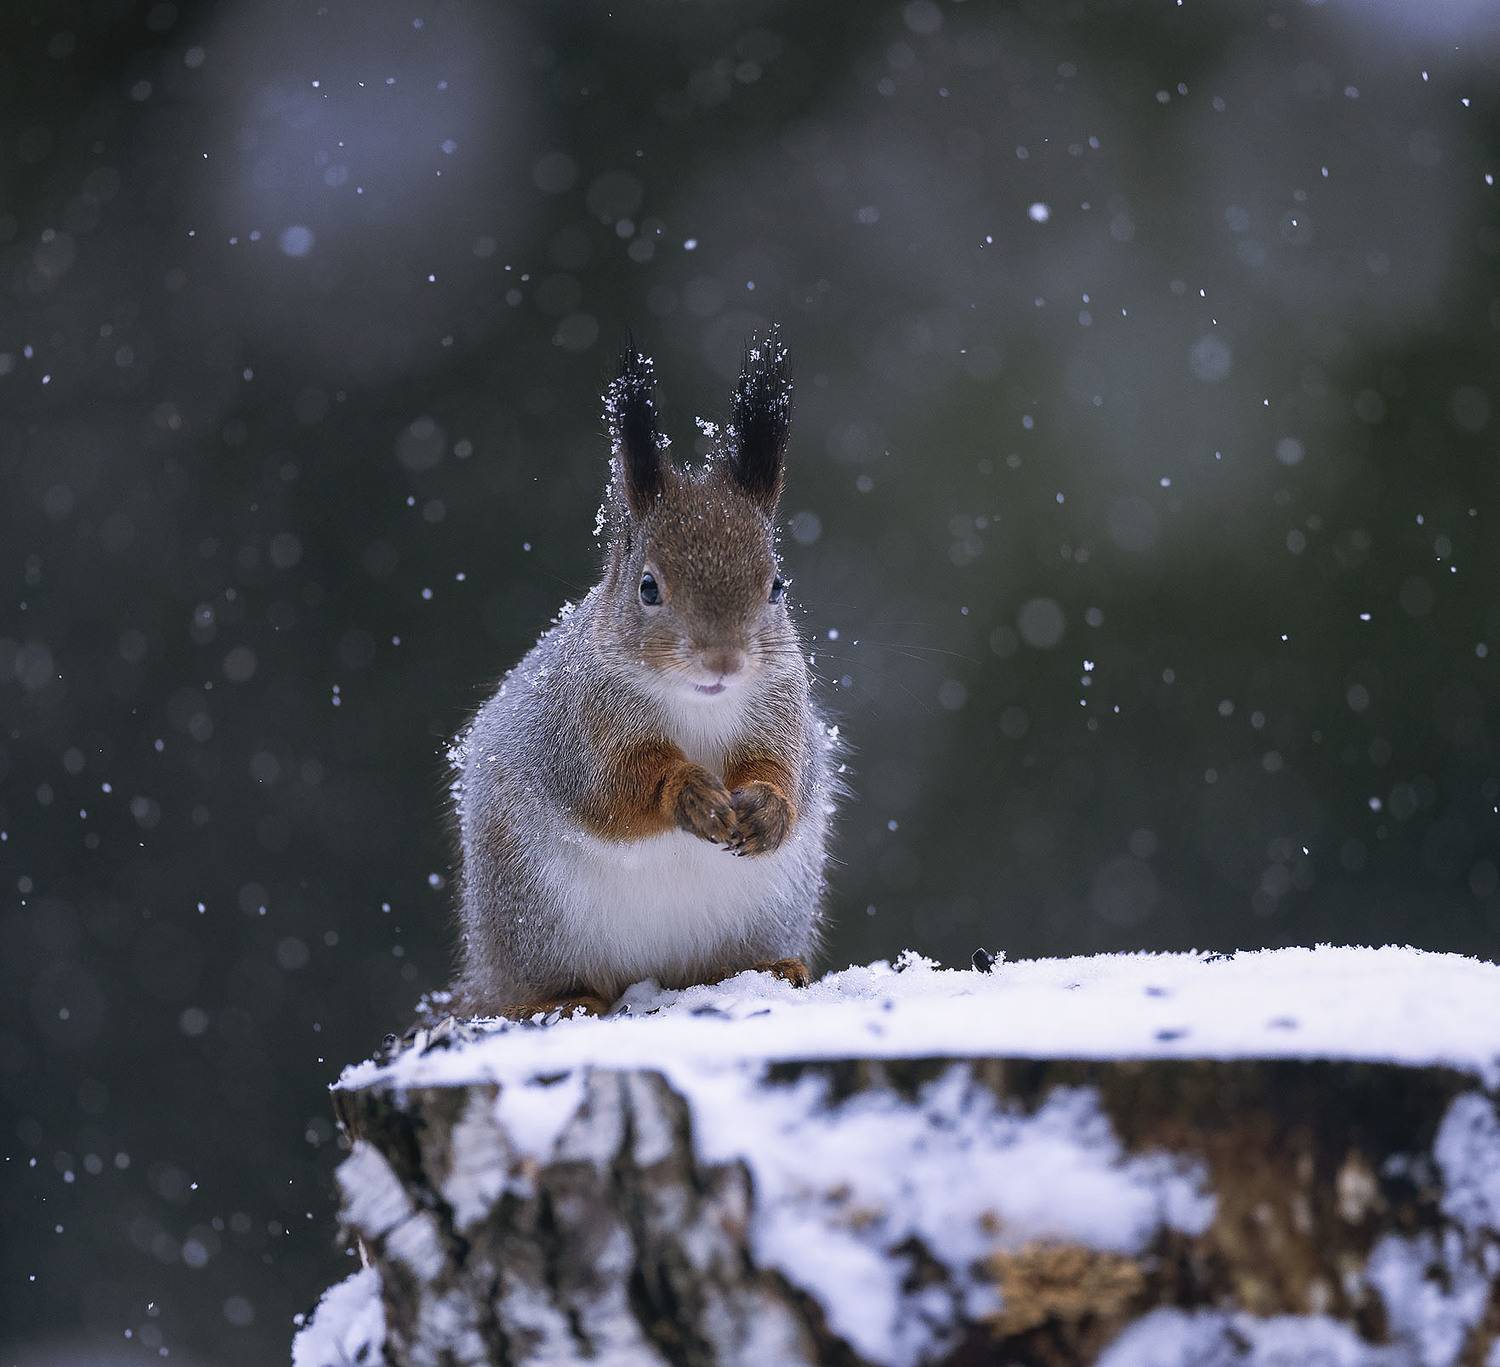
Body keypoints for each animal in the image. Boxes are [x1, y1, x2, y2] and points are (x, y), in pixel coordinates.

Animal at [449, 330, 840, 1018]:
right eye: (648, 587)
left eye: (777, 585)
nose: (723, 661)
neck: (699, 703)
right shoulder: (579, 734)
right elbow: (615, 792)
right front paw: (688, 795)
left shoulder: (782, 708)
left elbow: (786, 769)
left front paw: (768, 807)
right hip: (534, 921)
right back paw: (559, 1001)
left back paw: (775, 967)